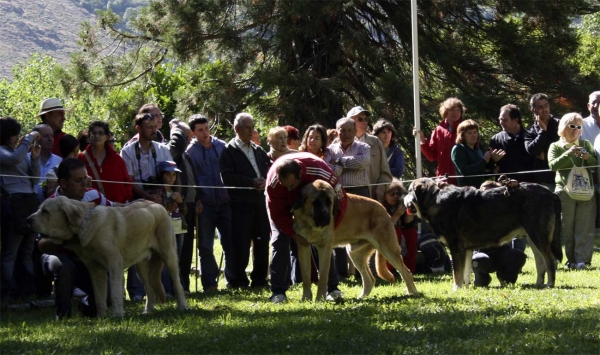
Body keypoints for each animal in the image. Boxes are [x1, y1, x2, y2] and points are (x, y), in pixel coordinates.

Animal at [27, 197, 188, 318]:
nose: (28, 219)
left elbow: (115, 292)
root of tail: (159, 205)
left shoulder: (114, 263)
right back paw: (148, 311)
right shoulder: (95, 269)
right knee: (149, 288)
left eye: (45, 211)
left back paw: (182, 307)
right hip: (141, 266)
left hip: (168, 256)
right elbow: (99, 296)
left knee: (177, 284)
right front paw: (101, 318)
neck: (83, 224)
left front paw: (117, 315)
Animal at [404, 179, 564, 290]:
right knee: (540, 262)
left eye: (409, 190)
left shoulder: (456, 248)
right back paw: (538, 284)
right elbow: (466, 272)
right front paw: (465, 288)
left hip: (538, 236)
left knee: (550, 261)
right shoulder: (467, 250)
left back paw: (550, 284)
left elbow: (457, 273)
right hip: (533, 238)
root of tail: (551, 193)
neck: (434, 199)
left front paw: (456, 289)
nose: (403, 199)